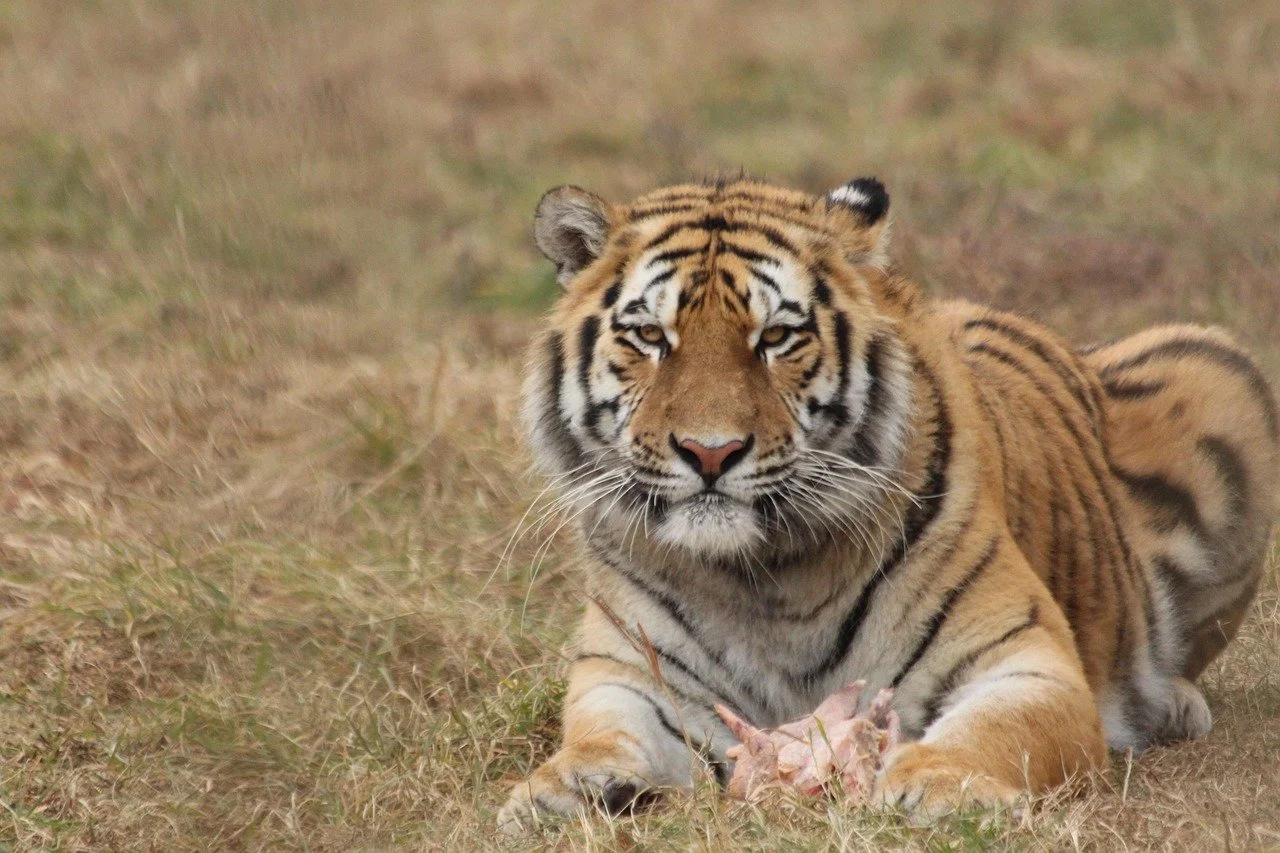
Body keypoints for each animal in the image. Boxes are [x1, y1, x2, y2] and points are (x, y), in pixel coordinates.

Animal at [497, 175, 1279, 829]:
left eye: (776, 336)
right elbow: (604, 735)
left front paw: (938, 781)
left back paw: (1172, 703)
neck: (759, 577)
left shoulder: (1026, 660)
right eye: (650, 336)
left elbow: (998, 731)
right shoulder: (625, 674)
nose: (710, 452)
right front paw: (558, 789)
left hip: (1223, 372)